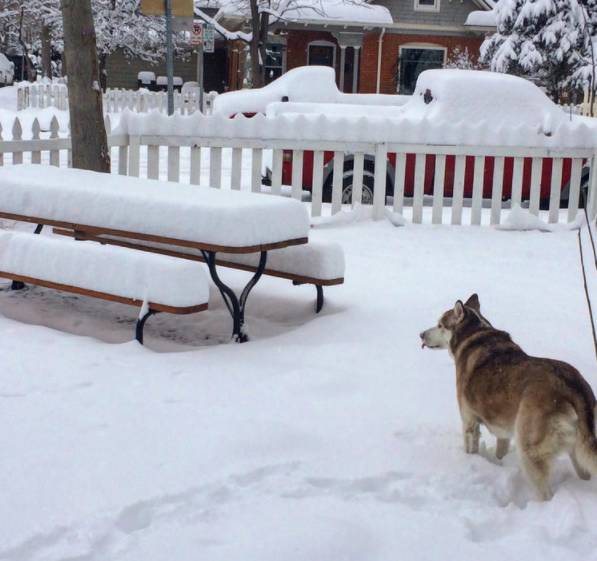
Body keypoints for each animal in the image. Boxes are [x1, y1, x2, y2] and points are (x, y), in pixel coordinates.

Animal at [420, 296, 596, 500]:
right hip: (578, 453)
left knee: (546, 493)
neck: (476, 334)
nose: (421, 334)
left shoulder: (469, 422)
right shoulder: (502, 430)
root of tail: (572, 385)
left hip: (530, 451)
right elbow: (500, 452)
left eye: (440, 325)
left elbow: (470, 448)